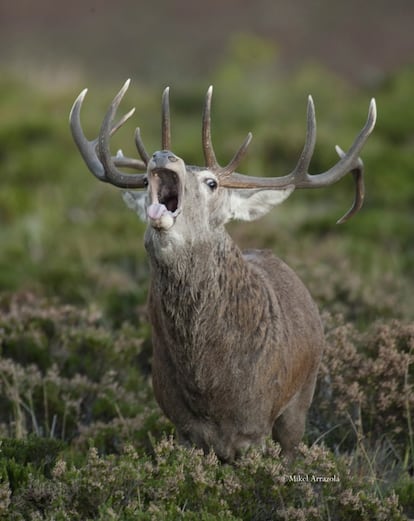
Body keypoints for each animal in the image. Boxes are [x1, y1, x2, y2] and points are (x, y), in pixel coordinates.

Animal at [70, 80, 376, 460]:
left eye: (211, 182)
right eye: (142, 182)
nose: (163, 155)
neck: (209, 383)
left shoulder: (254, 427)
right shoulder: (183, 426)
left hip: (302, 395)